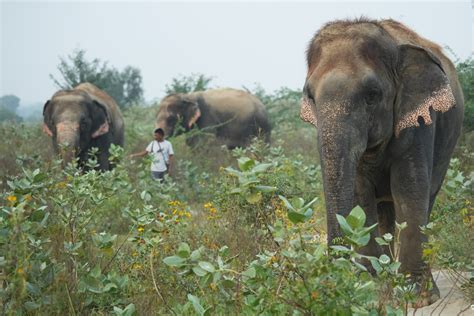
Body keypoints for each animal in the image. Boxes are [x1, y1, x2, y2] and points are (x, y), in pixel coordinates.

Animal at [300, 17, 462, 306]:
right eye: (310, 96)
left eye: (372, 95)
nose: (331, 278)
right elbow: (360, 195)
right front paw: (371, 289)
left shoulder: (419, 121)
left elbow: (409, 190)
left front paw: (417, 297)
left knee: (425, 198)